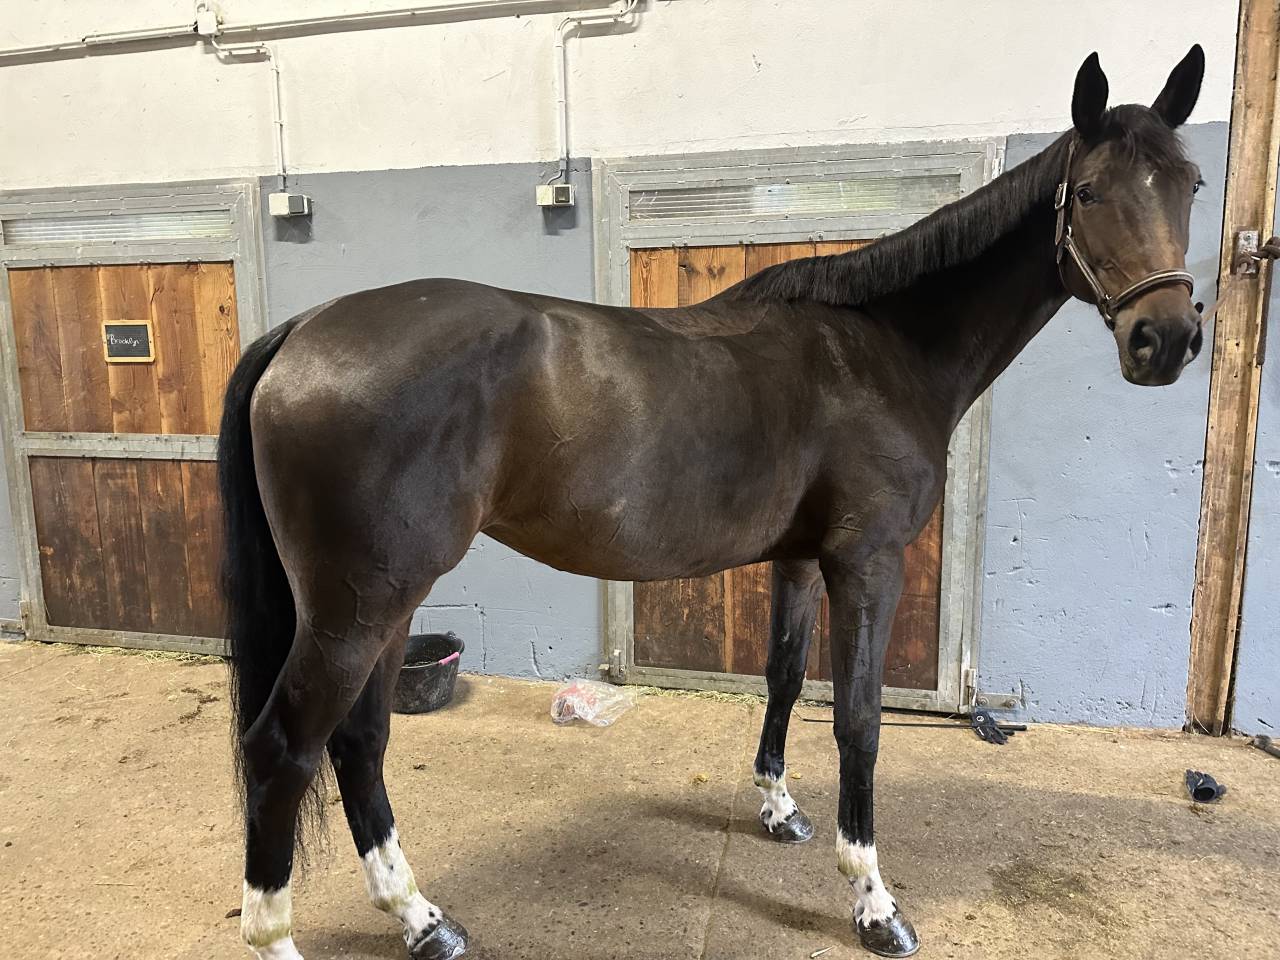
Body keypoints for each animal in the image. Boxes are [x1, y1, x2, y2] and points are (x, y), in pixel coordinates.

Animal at [219, 46, 1207, 960]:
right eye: (1088, 193)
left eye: (1190, 185)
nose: (1165, 340)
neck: (879, 349)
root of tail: (300, 334)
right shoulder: (868, 564)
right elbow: (857, 720)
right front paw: (873, 900)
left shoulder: (802, 559)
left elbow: (783, 678)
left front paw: (778, 809)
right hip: (359, 609)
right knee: (284, 750)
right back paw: (290, 929)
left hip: (383, 608)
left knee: (359, 743)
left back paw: (422, 918)